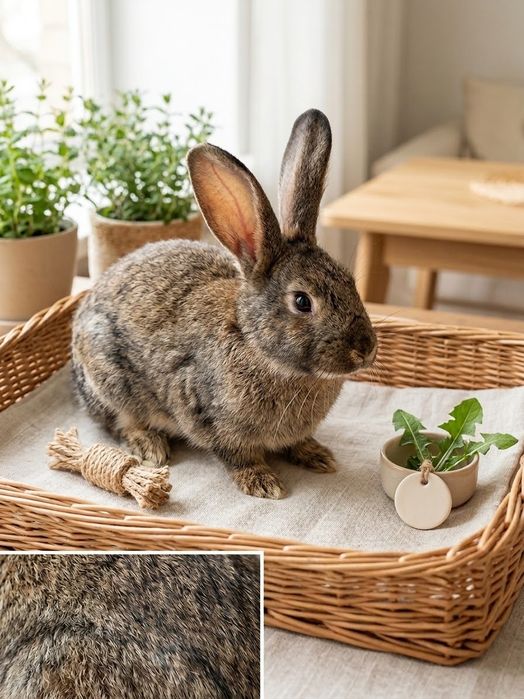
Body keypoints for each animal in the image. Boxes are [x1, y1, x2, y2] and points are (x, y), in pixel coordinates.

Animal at [72, 108, 377, 500]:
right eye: (302, 301)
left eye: (350, 281)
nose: (365, 349)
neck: (256, 345)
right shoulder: (206, 414)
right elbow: (235, 454)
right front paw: (262, 482)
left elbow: (298, 442)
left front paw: (317, 455)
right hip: (108, 380)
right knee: (120, 421)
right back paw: (150, 447)